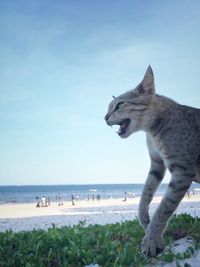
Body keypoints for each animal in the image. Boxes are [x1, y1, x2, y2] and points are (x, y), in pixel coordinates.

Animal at [104, 66, 200, 258]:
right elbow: (144, 194)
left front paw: (151, 240)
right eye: (109, 108)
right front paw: (144, 221)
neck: (152, 130)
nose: (104, 117)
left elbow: (164, 207)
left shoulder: (182, 170)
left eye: (119, 105)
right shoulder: (156, 164)